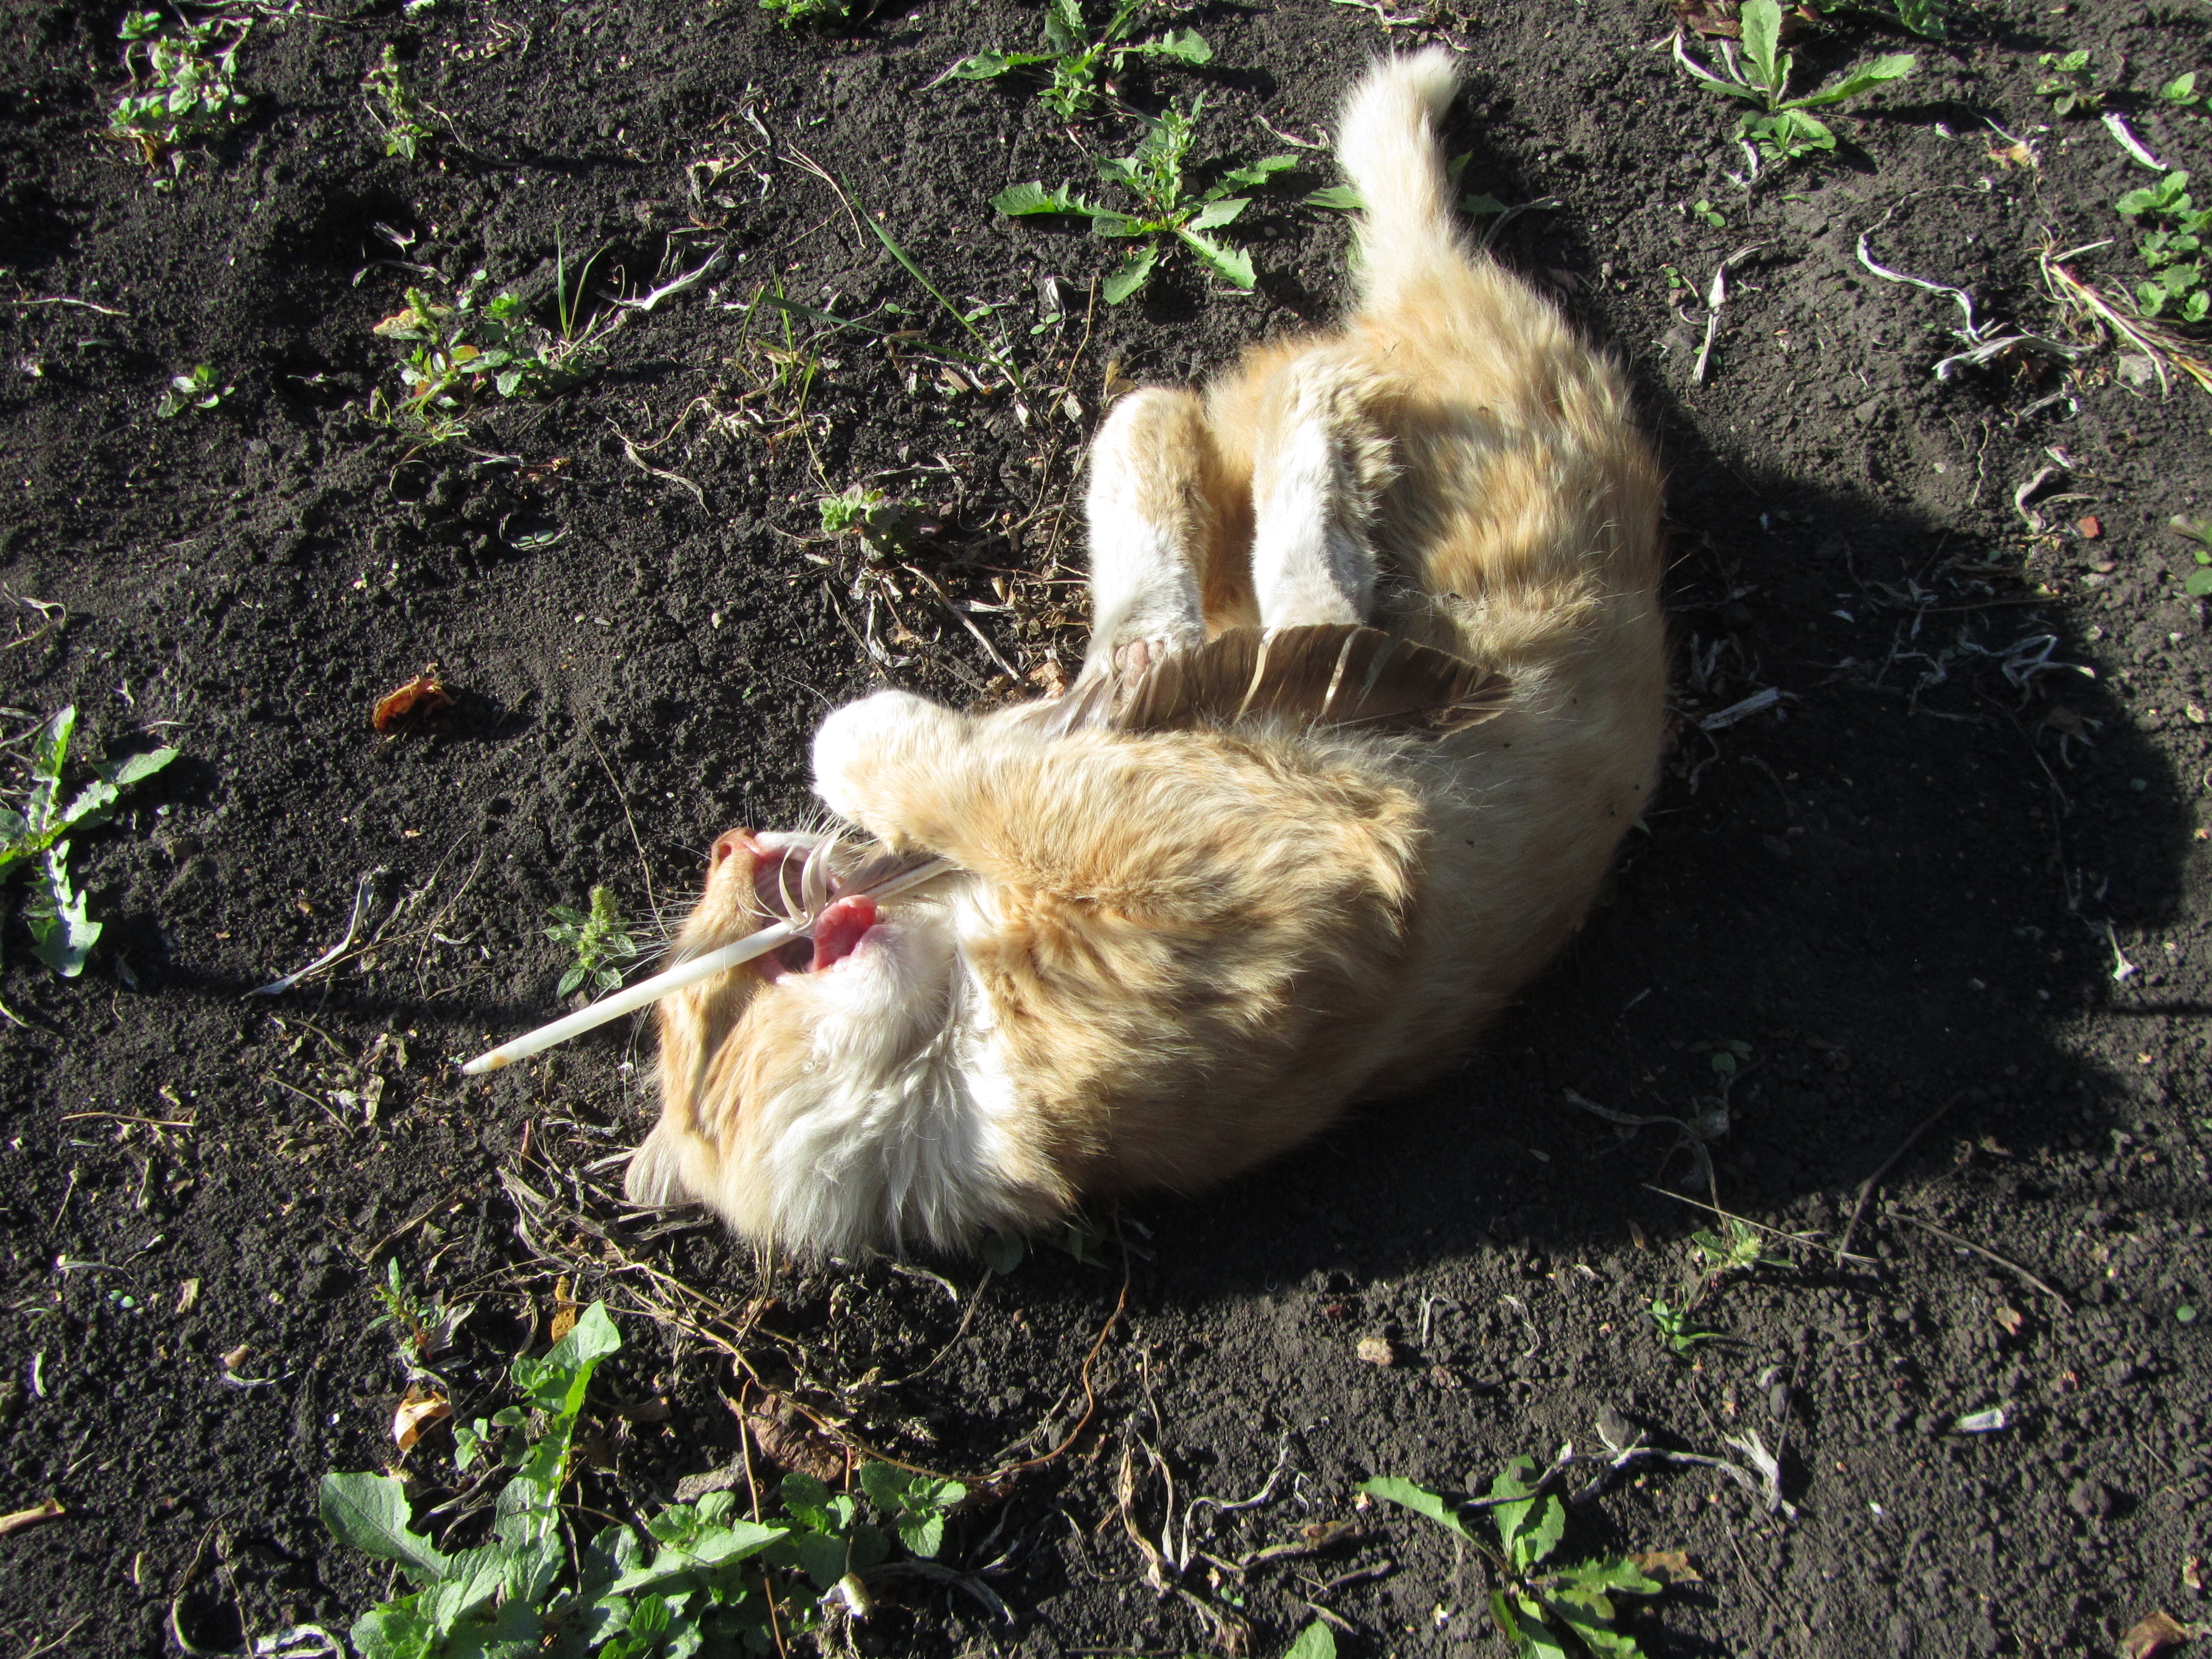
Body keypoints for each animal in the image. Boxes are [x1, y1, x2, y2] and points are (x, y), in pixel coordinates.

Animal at [624, 55, 1663, 1256]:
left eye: (703, 991)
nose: (731, 846)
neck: (964, 1027)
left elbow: (981, 757)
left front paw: (869, 746)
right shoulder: (1255, 870)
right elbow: (988, 773)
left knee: (1202, 493)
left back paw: (1242, 450)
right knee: (1279, 527)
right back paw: (1303, 448)